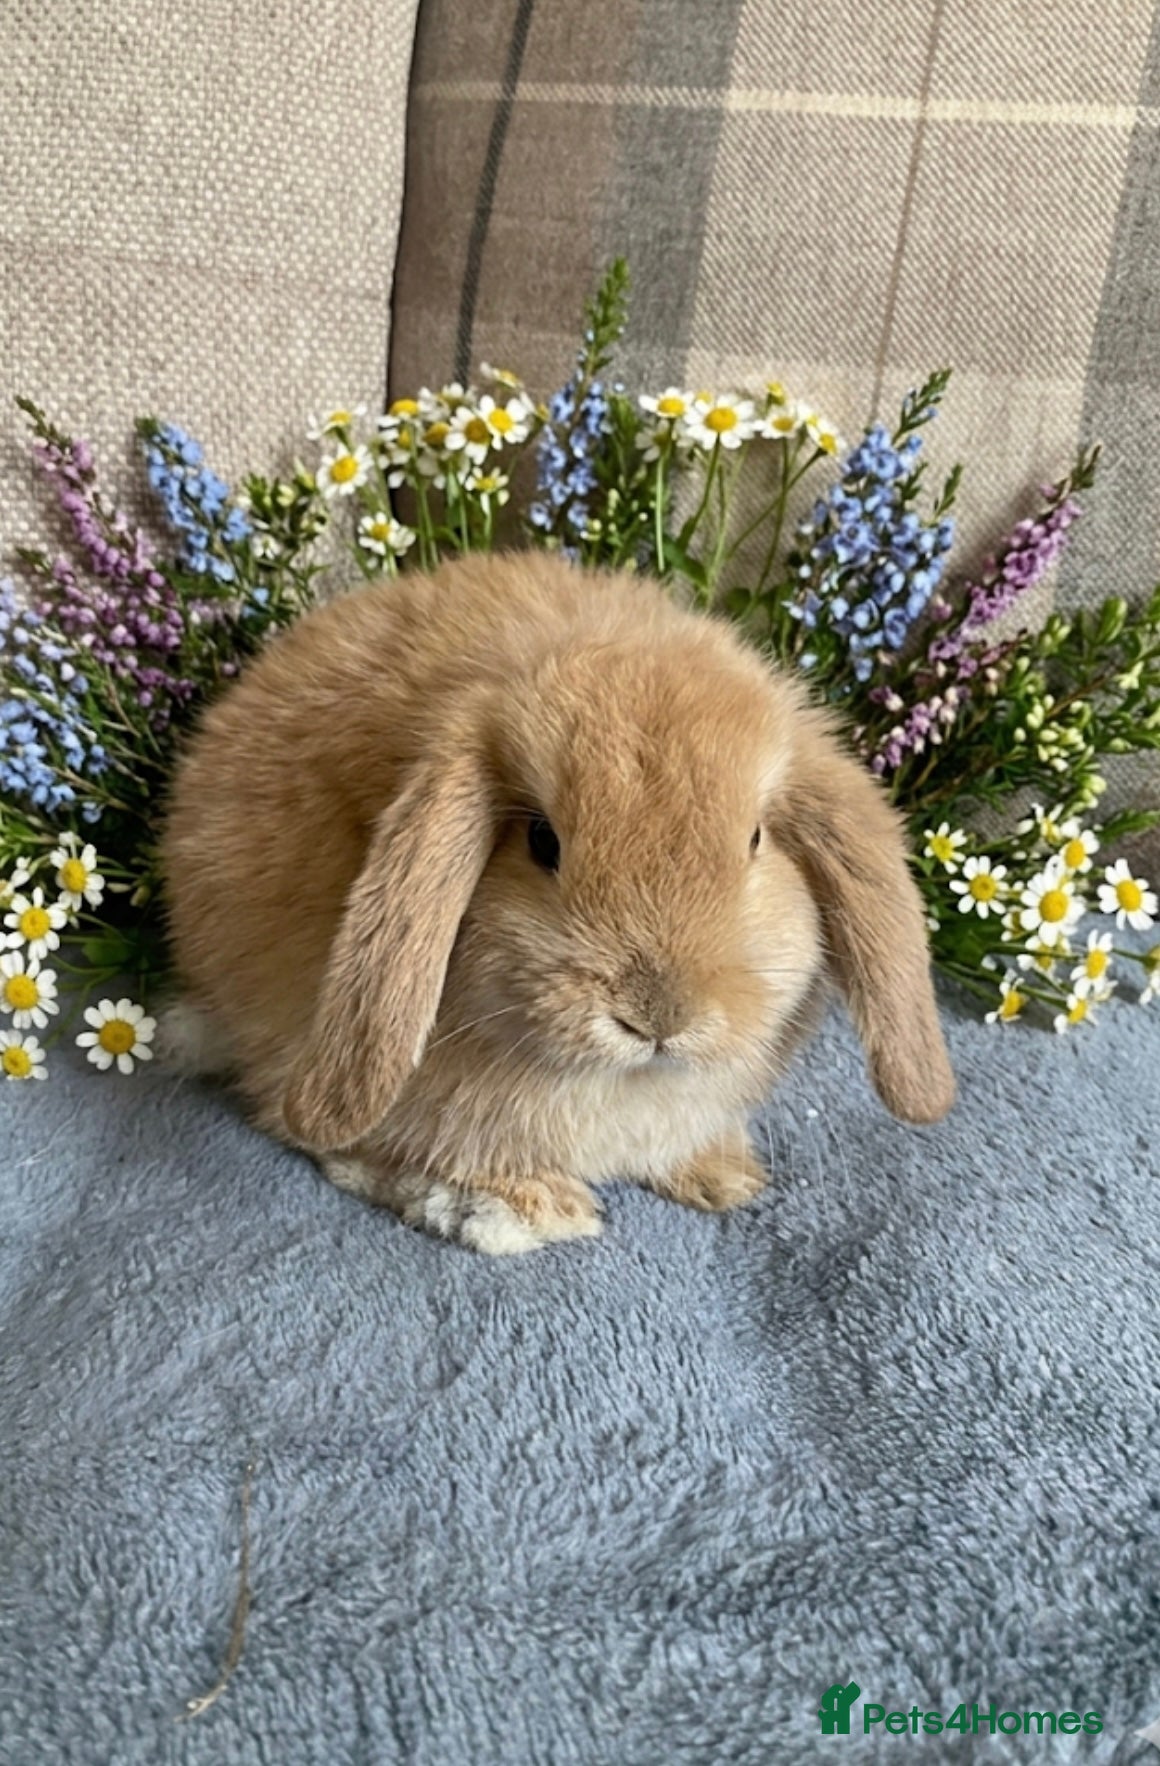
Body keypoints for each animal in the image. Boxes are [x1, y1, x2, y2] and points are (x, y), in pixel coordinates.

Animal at [161, 551, 954, 1254]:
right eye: (543, 841)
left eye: (756, 838)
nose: (658, 1018)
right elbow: (370, 1158)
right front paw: (527, 1210)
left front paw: (724, 1177)